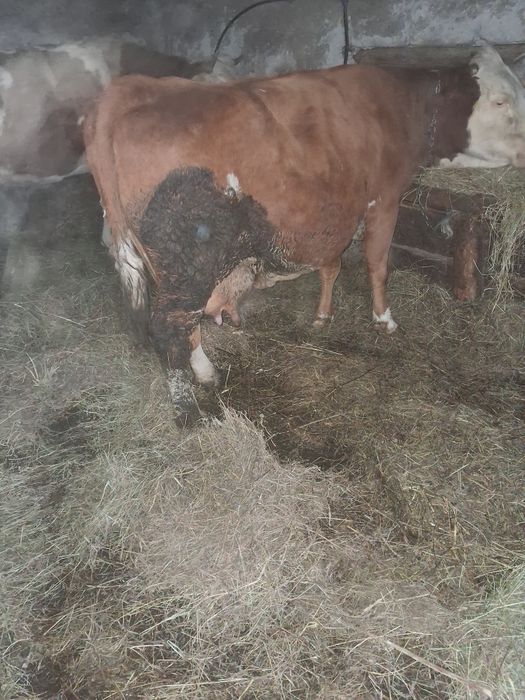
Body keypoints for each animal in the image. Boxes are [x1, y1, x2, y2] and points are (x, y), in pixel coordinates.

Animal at [84, 45, 525, 423]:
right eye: (500, 100)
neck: (399, 106)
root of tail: (135, 90)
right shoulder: (383, 200)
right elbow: (377, 263)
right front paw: (384, 319)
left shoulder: (334, 216)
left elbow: (331, 265)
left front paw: (323, 315)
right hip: (188, 261)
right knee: (168, 325)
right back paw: (188, 411)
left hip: (171, 267)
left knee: (186, 322)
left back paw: (206, 373)